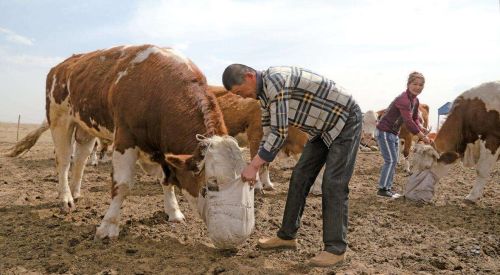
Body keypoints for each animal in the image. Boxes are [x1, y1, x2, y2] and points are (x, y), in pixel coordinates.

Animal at [46, 44, 246, 239]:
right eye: (208, 187)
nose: (235, 236)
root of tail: (63, 64)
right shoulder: (125, 139)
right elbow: (122, 184)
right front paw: (108, 226)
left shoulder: (162, 151)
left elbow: (166, 181)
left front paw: (174, 212)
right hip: (59, 120)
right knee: (64, 161)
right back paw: (66, 198)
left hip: (85, 128)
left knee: (80, 159)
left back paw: (75, 192)